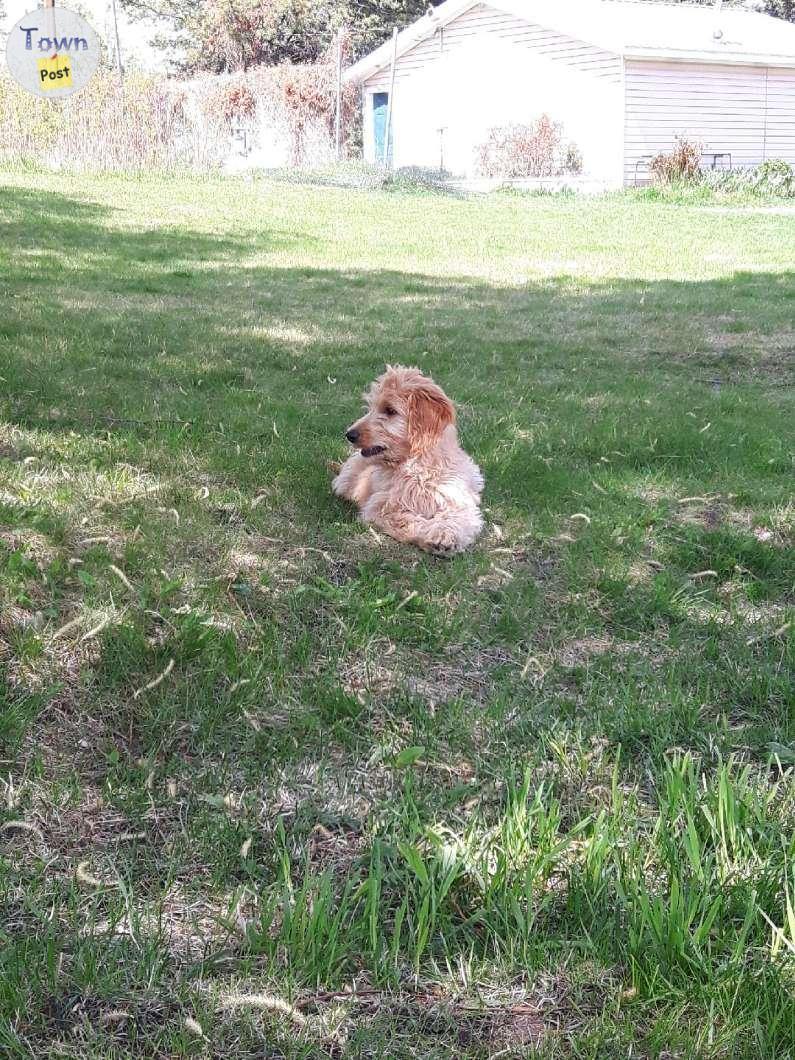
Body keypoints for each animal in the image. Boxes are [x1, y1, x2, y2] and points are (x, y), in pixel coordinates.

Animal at [330, 366, 485, 555]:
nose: (349, 434)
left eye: (390, 410)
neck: (417, 467)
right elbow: (407, 520)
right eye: (370, 407)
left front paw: (444, 534)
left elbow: (459, 516)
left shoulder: (457, 499)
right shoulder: (381, 507)